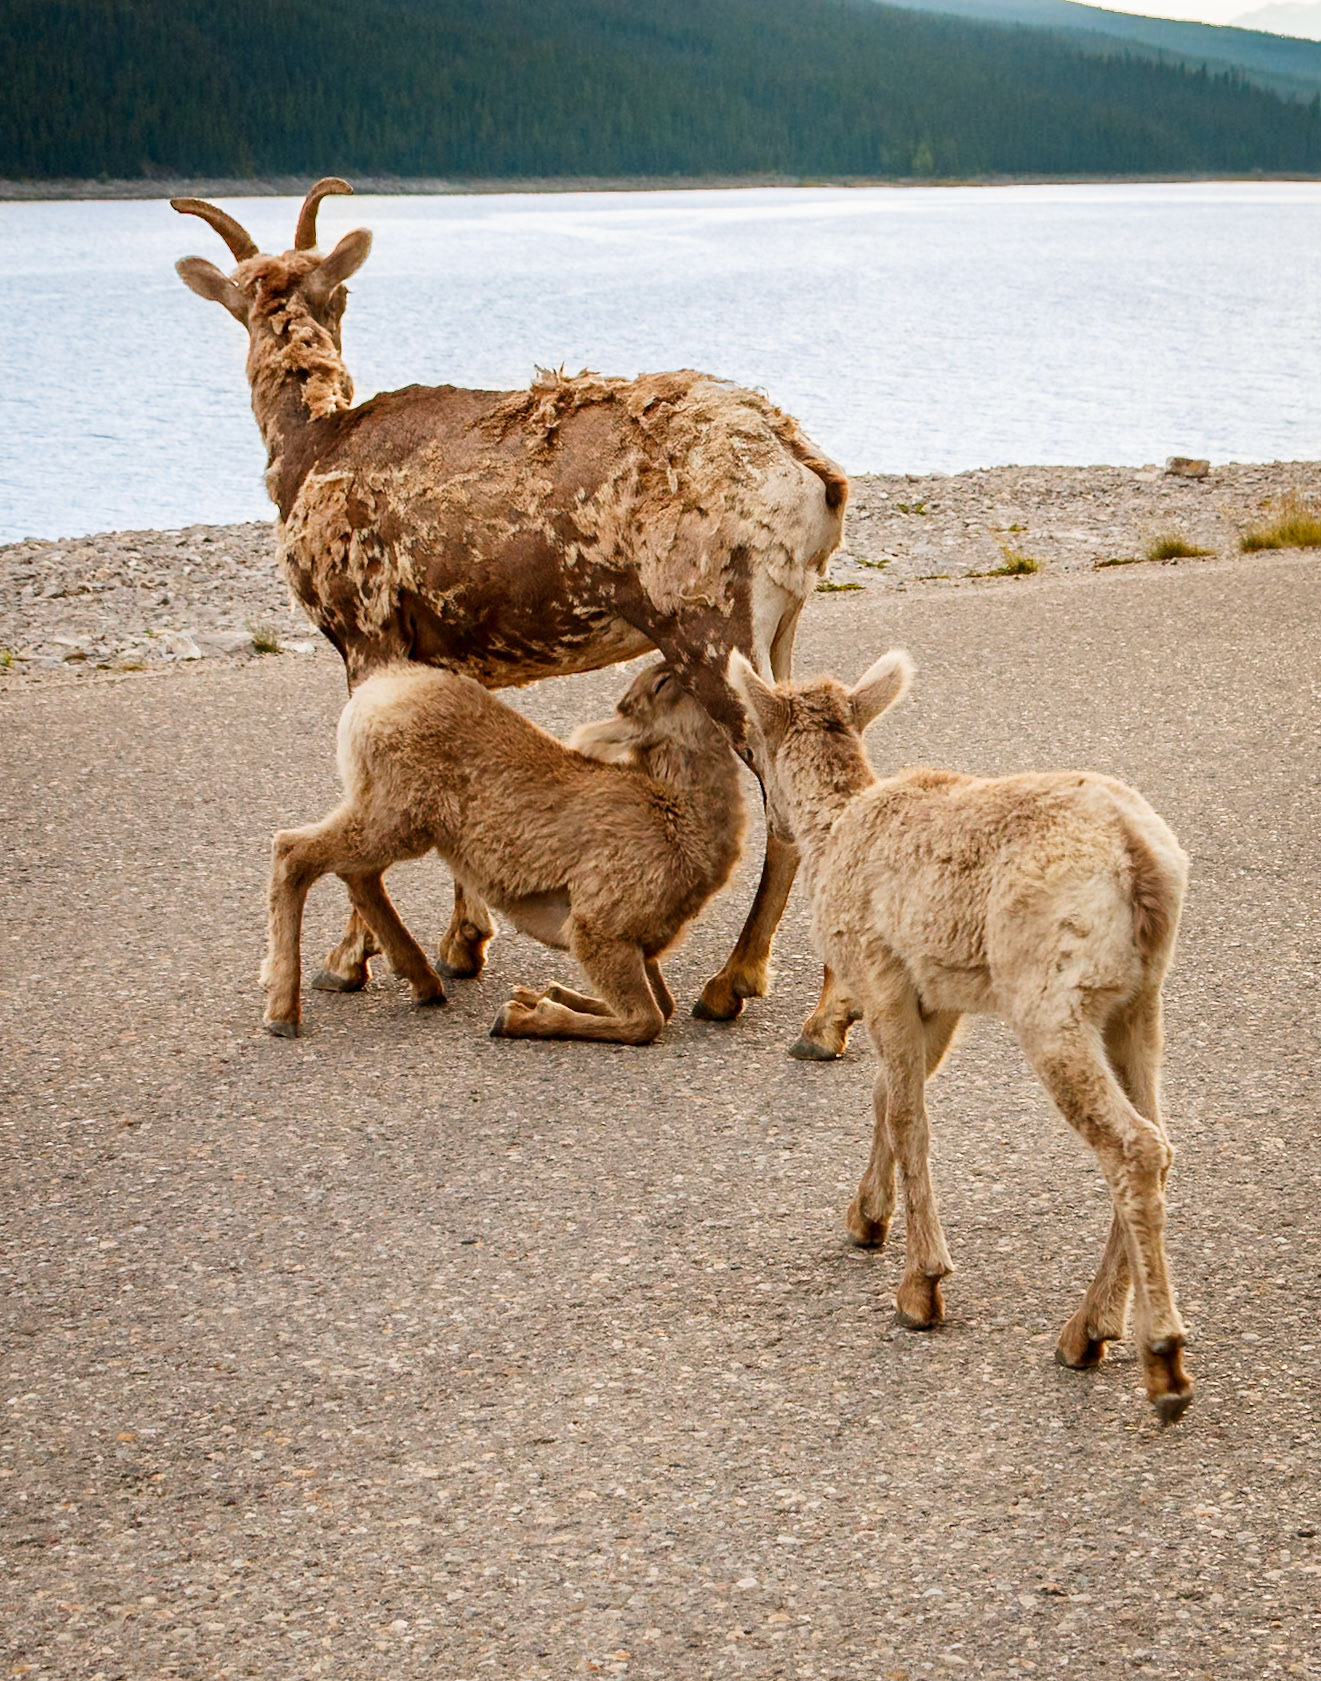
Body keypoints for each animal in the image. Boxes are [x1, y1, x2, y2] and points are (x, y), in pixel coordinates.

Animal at [261, 660, 743, 1045]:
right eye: (662, 684)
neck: (680, 819)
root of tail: (373, 693)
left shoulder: (640, 949)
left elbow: (664, 1005)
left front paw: (540, 994)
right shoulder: (598, 933)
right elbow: (647, 1021)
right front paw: (516, 1016)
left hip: (386, 820)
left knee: (355, 874)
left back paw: (425, 984)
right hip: (395, 822)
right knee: (293, 851)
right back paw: (283, 1016)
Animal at [727, 647, 1193, 1423]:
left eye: (749, 742)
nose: (775, 823)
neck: (838, 827)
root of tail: (1142, 862)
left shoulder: (883, 979)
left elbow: (907, 1116)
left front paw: (920, 1288)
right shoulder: (935, 1001)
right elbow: (885, 1098)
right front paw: (866, 1220)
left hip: (1052, 1007)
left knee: (1131, 1147)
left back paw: (1161, 1364)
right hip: (1135, 1005)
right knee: (1155, 1142)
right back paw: (1087, 1333)